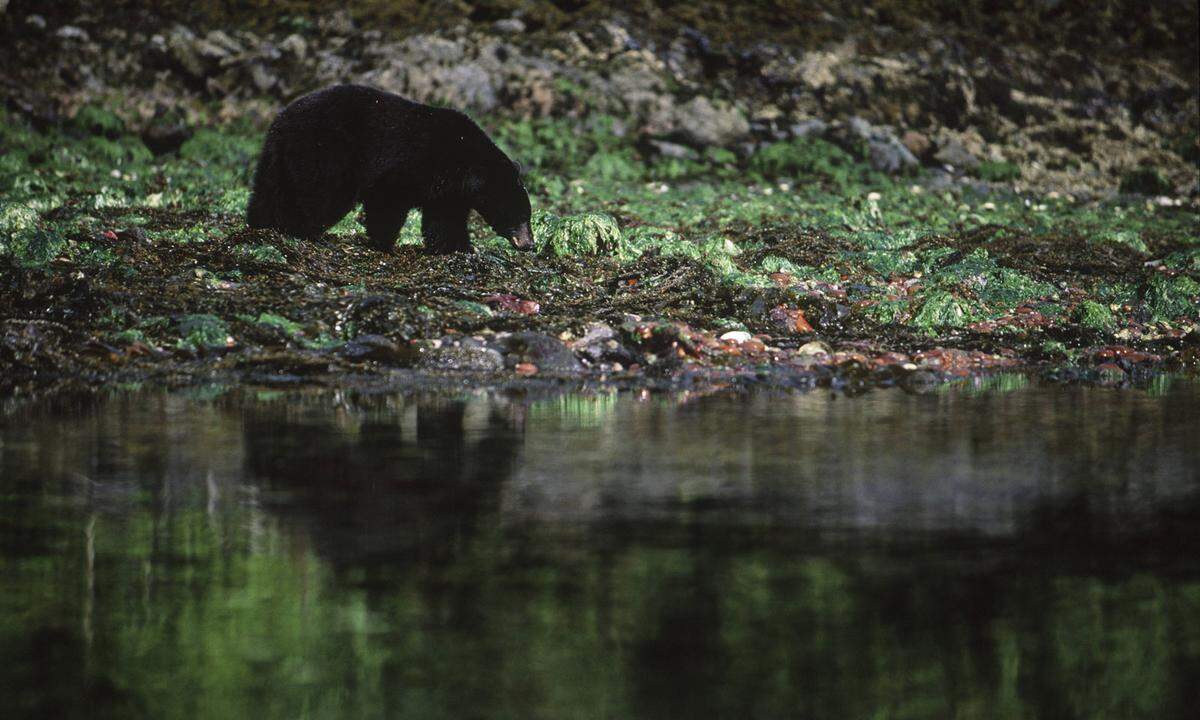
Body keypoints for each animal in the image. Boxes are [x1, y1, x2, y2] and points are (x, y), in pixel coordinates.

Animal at [246, 83, 532, 253]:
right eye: (521, 216)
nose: (529, 244)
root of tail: (282, 121)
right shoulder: (414, 164)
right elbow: (387, 199)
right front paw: (383, 242)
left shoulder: (446, 190)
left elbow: (444, 219)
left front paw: (459, 248)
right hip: (327, 151)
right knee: (320, 195)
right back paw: (305, 230)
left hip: (277, 156)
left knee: (268, 188)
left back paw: (262, 224)